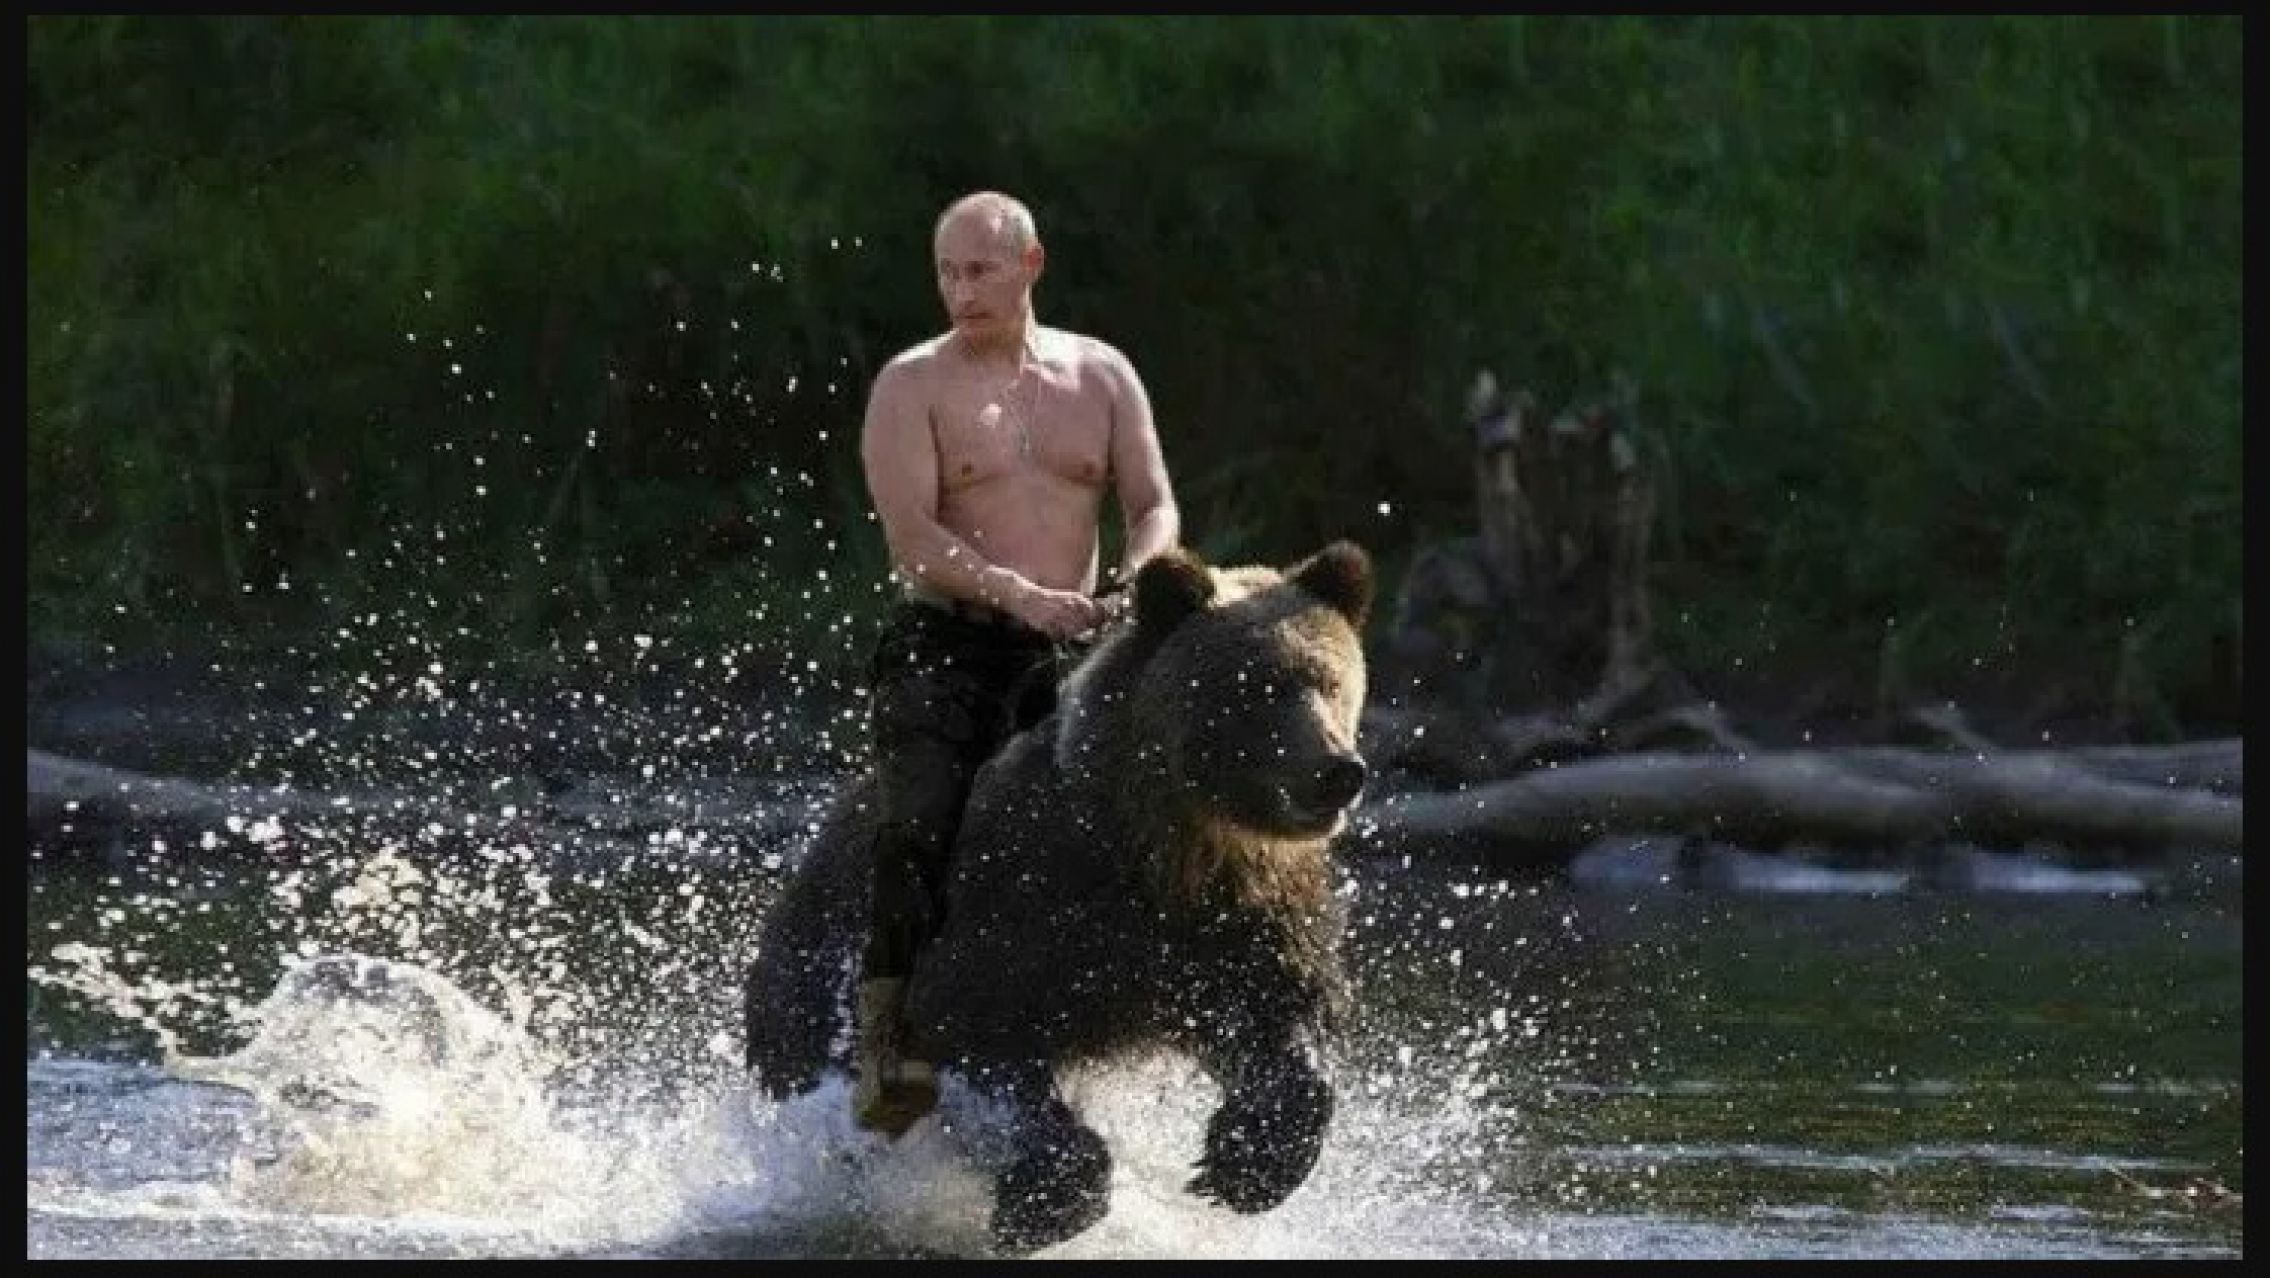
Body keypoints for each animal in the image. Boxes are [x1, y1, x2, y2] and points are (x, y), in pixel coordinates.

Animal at [743, 539, 1374, 1253]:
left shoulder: (1234, 919)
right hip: (821, 966)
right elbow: (975, 1029)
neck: (1166, 843)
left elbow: (1277, 1018)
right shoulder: (1025, 901)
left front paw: (1244, 1163)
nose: (1337, 771)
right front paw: (1044, 1204)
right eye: (1259, 687)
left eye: (1332, 681)